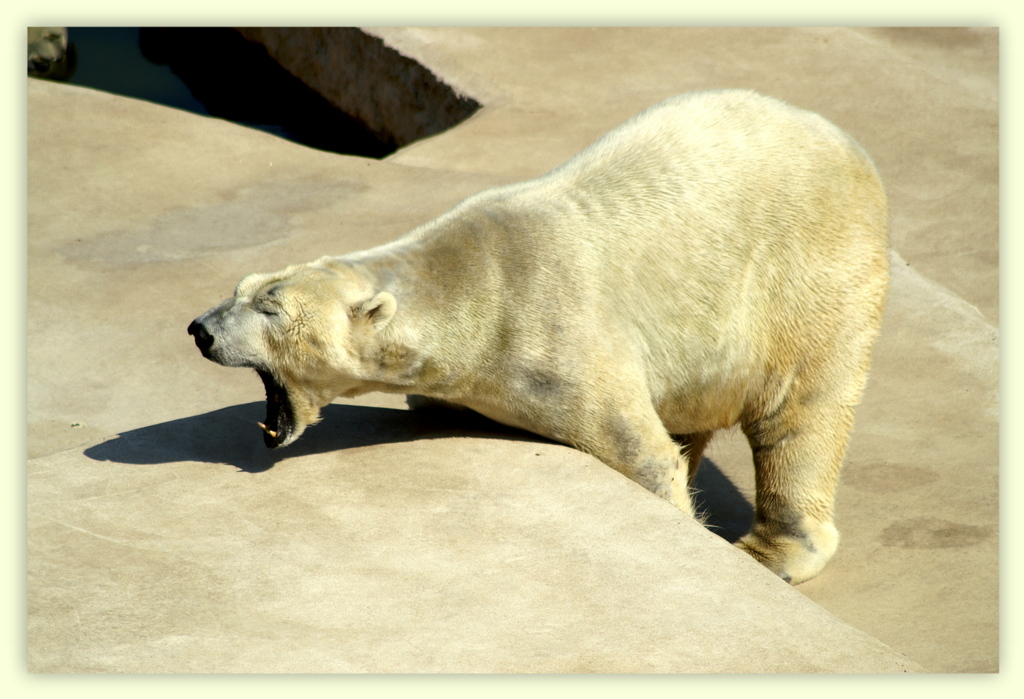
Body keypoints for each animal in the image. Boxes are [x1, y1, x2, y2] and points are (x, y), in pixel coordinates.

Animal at [190, 91, 888, 585]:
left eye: (270, 308)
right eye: (240, 288)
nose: (200, 330)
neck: (479, 286)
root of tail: (847, 145)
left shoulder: (560, 333)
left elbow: (643, 455)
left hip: (811, 278)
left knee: (800, 413)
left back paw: (773, 553)